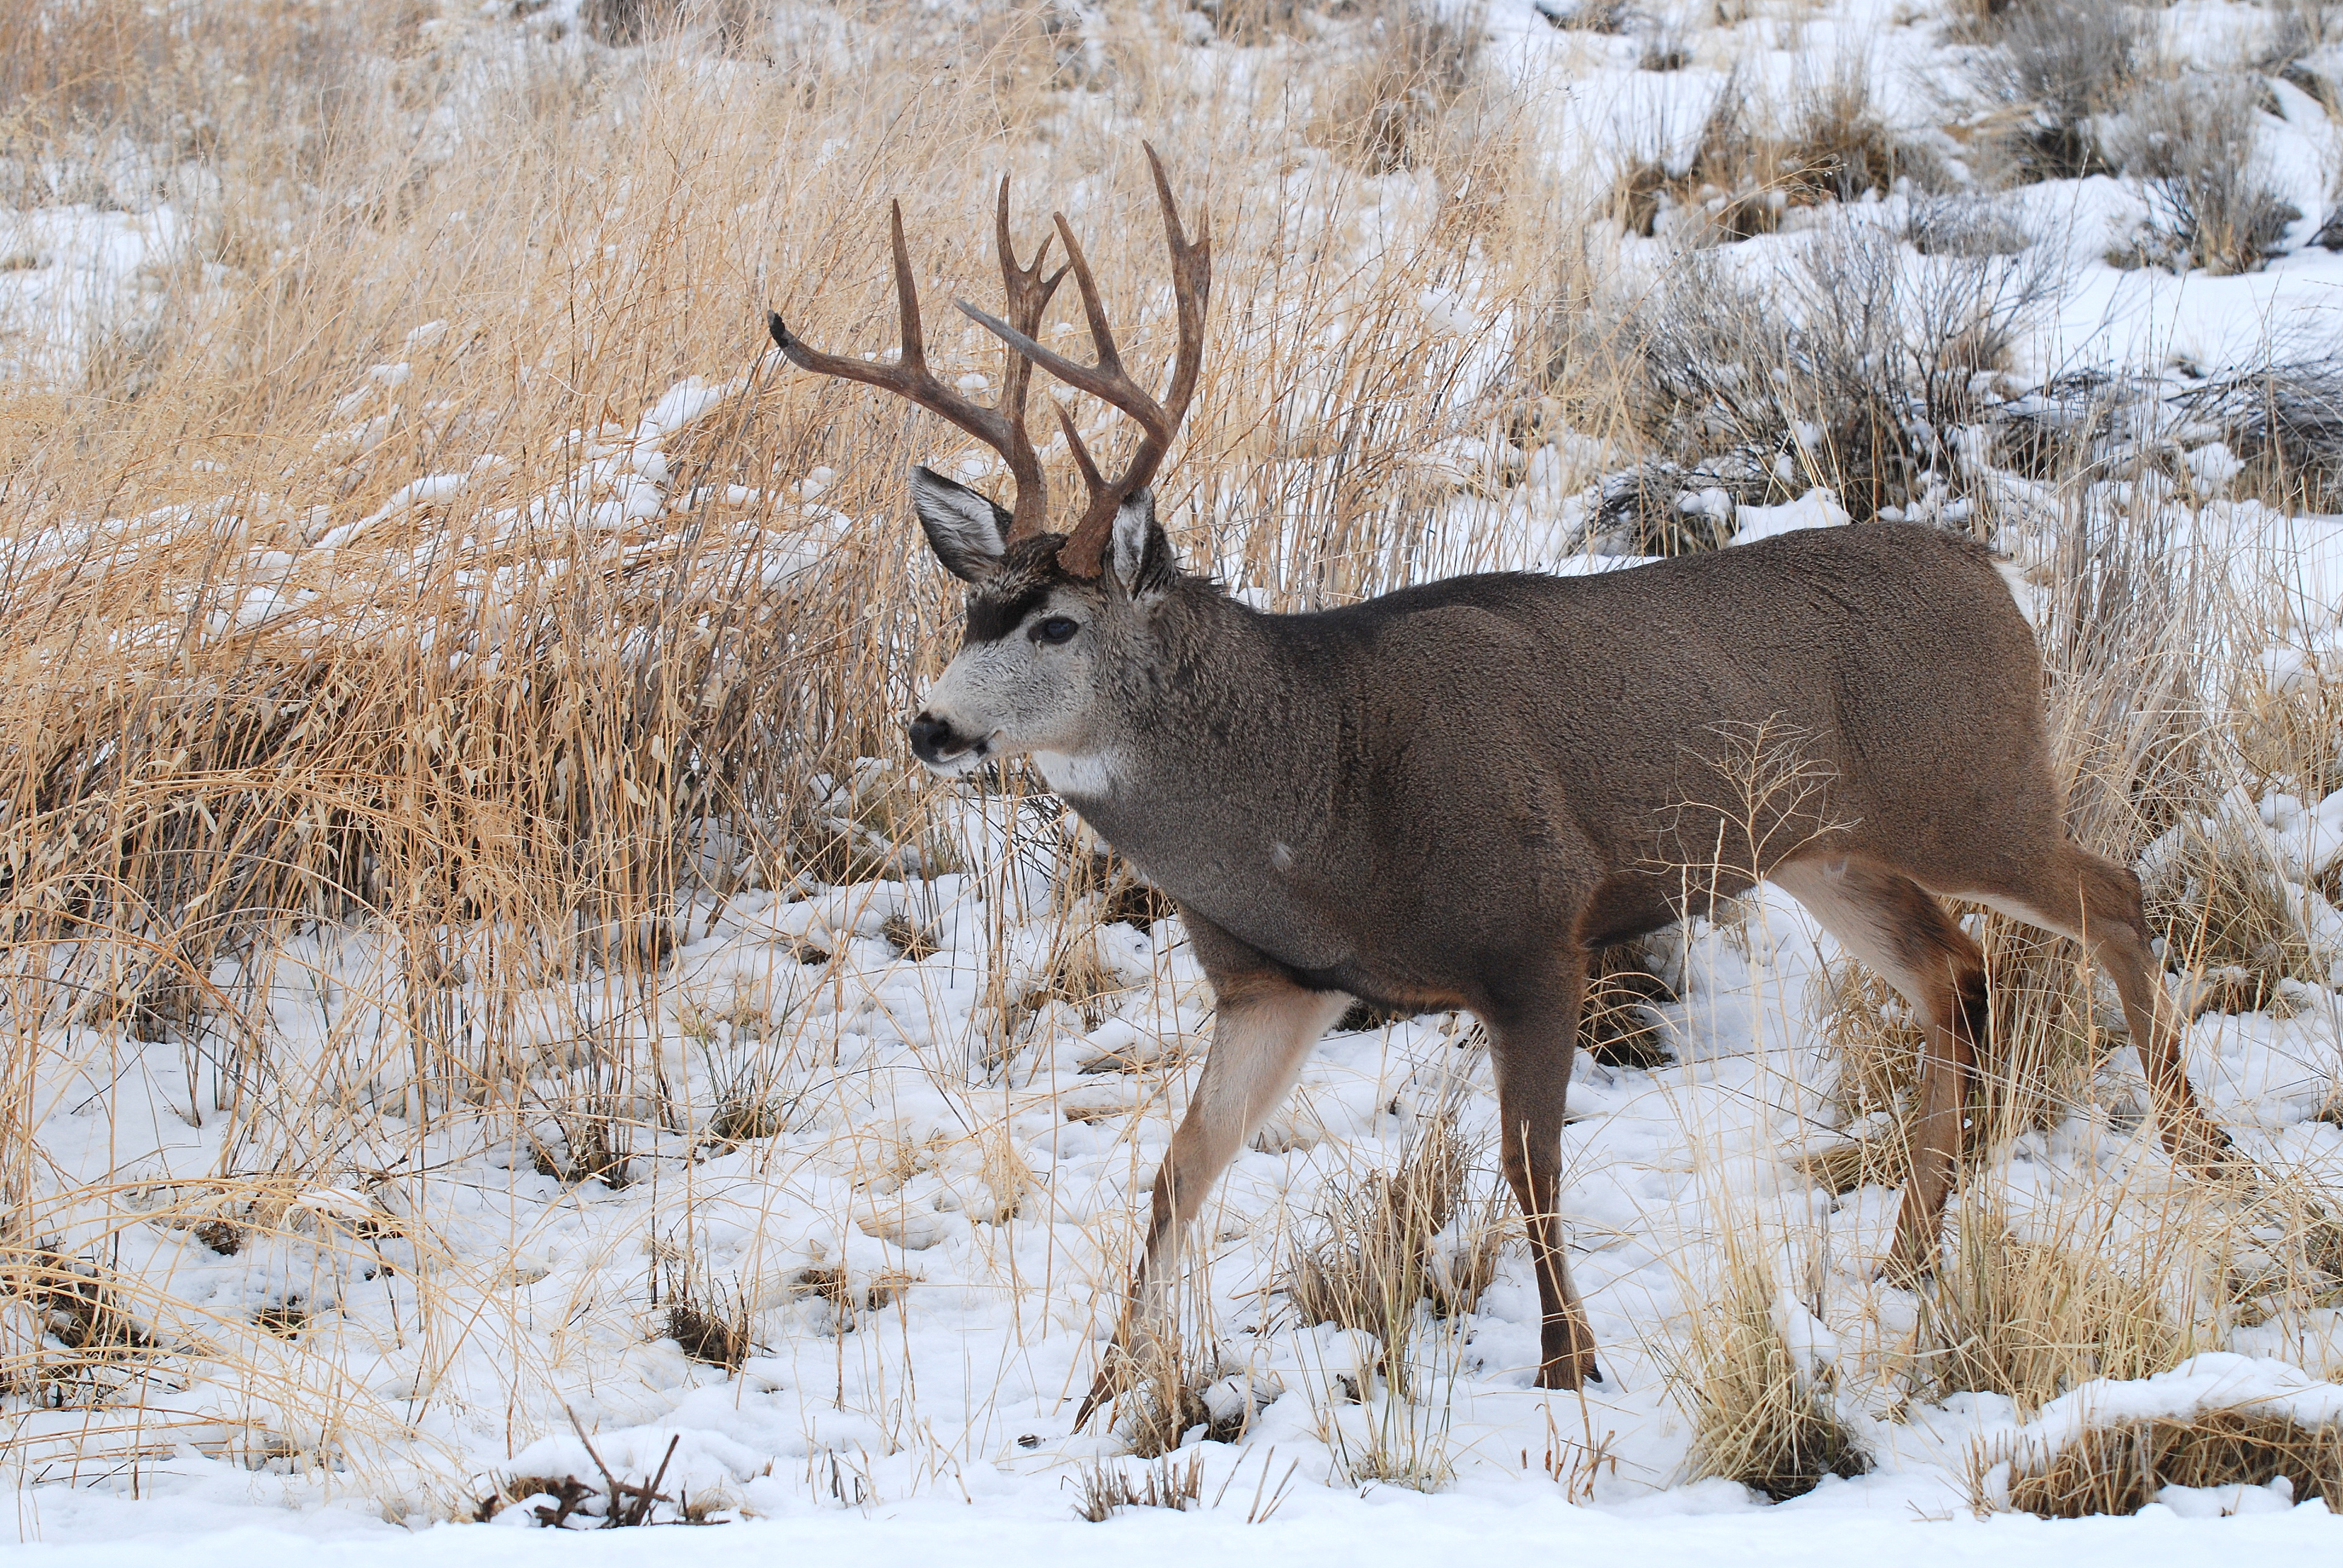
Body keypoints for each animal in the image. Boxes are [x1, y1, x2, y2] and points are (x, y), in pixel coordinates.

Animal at [768, 149, 2230, 1416]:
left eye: (1058, 627)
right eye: (971, 613)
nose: (929, 728)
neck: (1321, 796)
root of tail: (1995, 577)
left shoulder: (1536, 931)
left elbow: (1532, 1164)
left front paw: (1567, 1365)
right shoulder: (1277, 983)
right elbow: (1180, 1173)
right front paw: (1099, 1392)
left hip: (1975, 788)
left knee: (2110, 890)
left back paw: (2195, 1149)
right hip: (1828, 850)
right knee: (1954, 971)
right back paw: (1913, 1250)